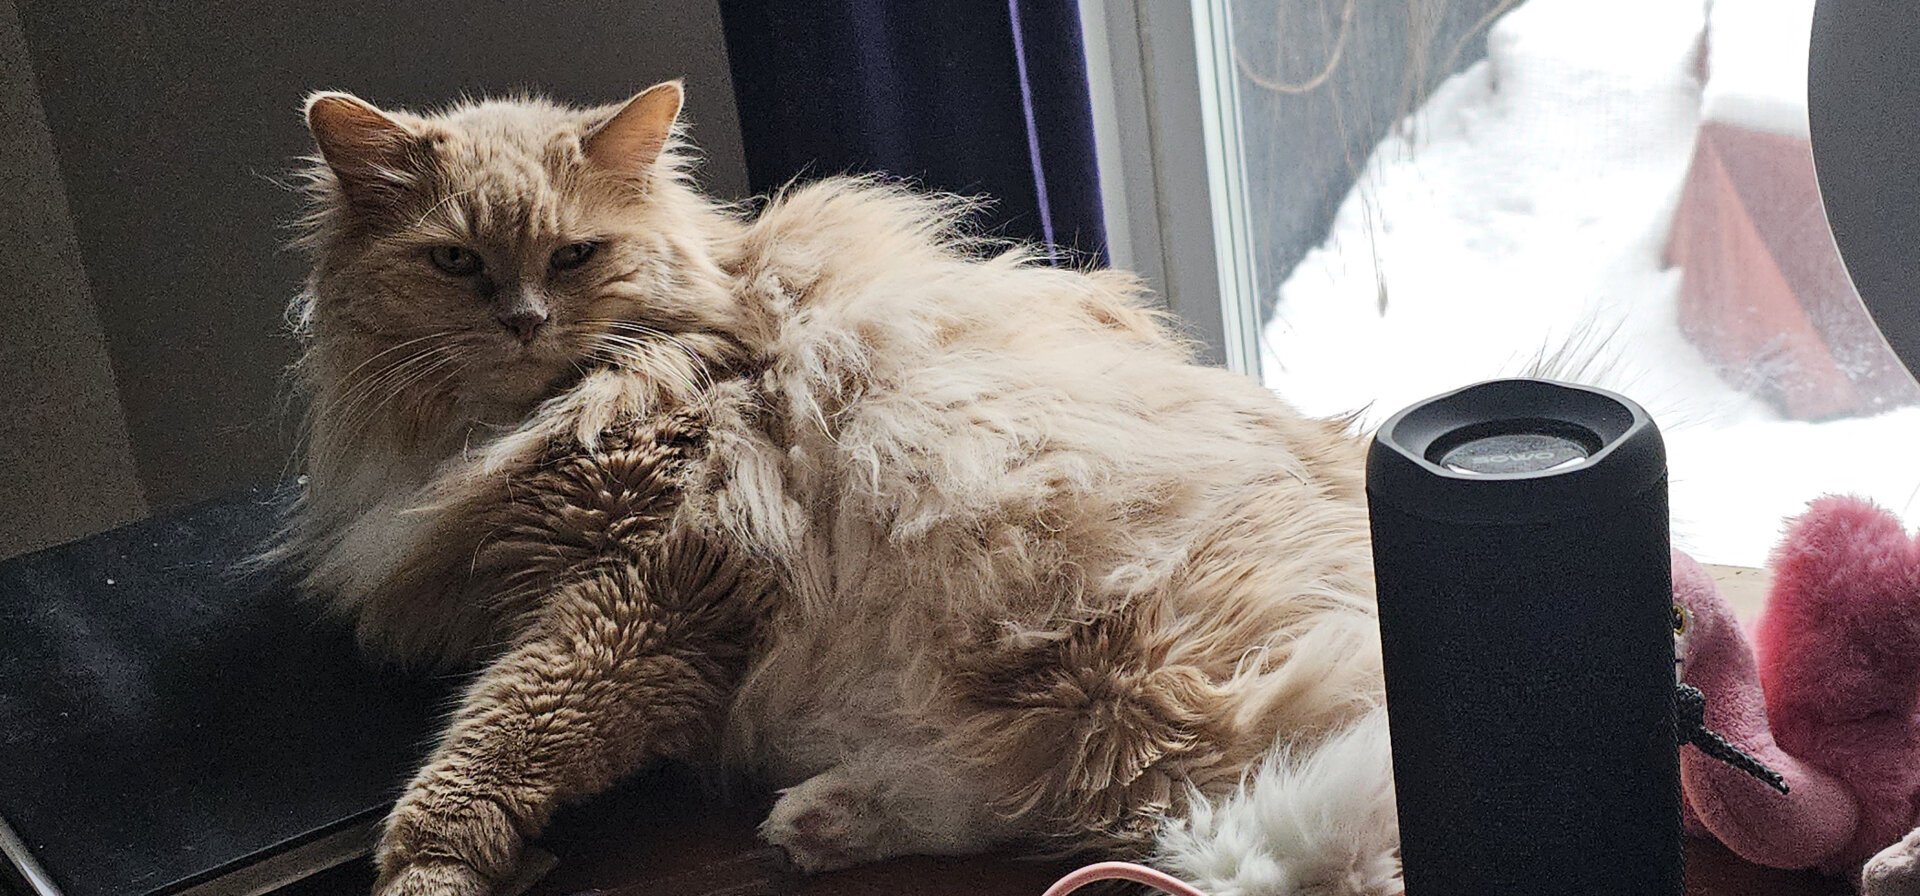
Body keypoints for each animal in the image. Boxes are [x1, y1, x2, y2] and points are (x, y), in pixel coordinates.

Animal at [284, 80, 1397, 894]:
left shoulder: (647, 587)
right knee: (1047, 789)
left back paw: (821, 819)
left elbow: (490, 744)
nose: (521, 322)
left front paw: (426, 870)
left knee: (1115, 787)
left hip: (1097, 645)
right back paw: (814, 822)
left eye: (574, 256)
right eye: (454, 262)